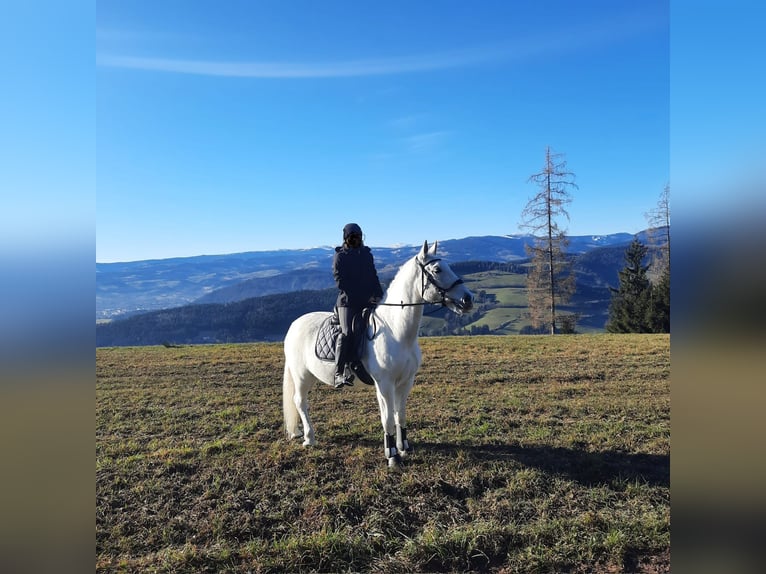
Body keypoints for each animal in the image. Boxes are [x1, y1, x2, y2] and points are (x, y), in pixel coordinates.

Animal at [282, 241, 474, 470]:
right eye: (437, 270)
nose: (468, 299)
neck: (397, 332)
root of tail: (294, 324)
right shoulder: (384, 384)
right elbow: (388, 418)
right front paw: (392, 456)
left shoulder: (405, 382)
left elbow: (400, 415)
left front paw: (403, 447)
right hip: (302, 376)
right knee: (300, 402)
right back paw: (309, 438)